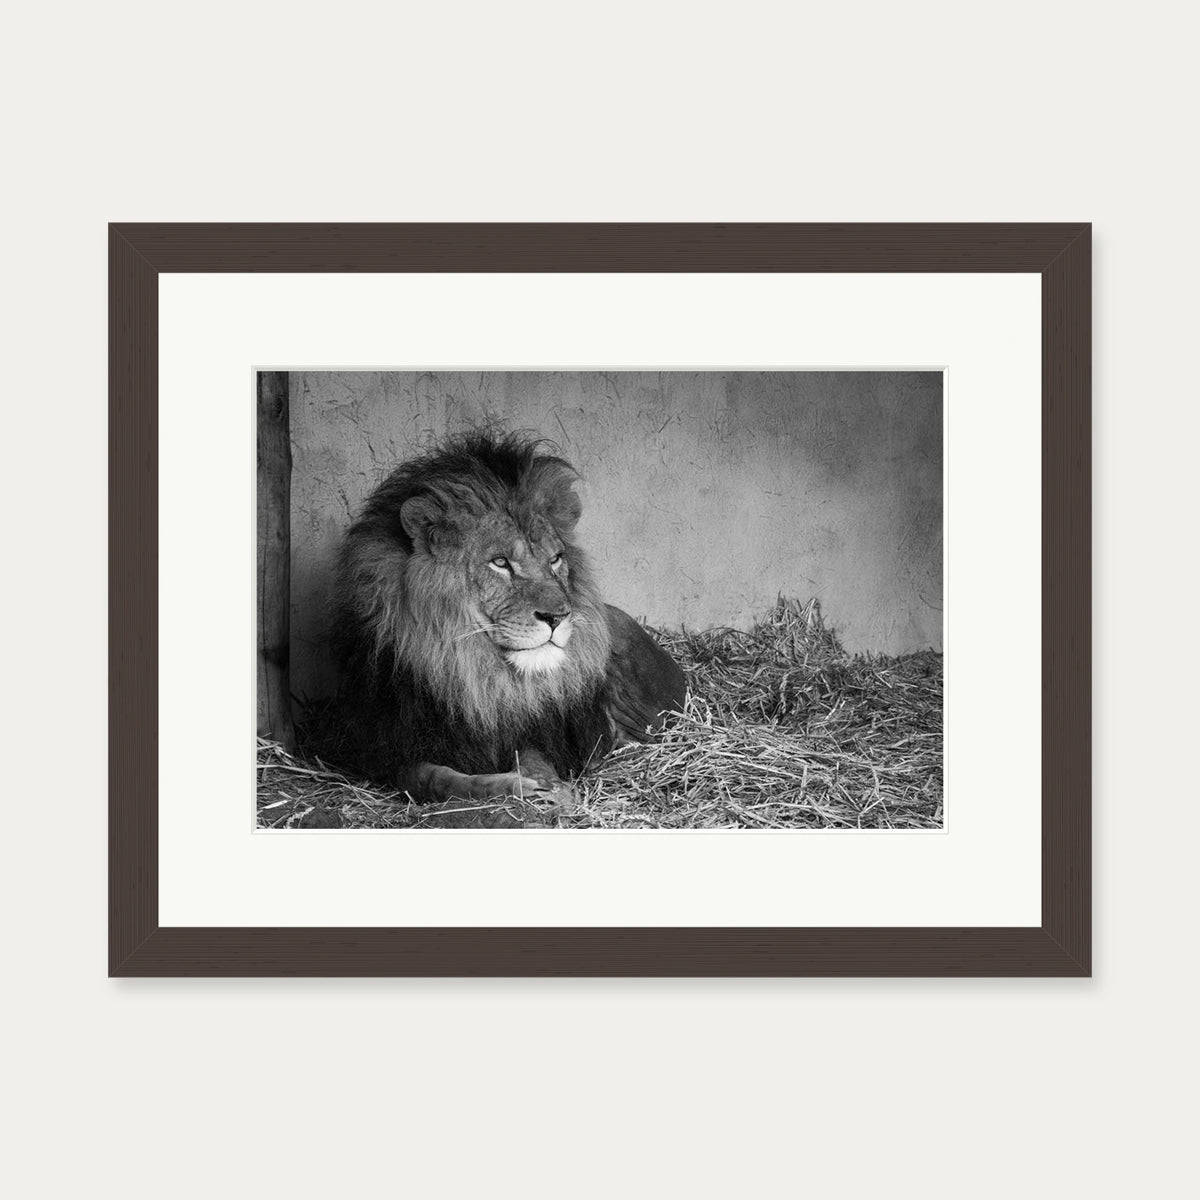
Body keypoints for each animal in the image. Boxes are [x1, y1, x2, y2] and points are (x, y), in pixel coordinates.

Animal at [333, 431, 686, 805]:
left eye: (555, 559)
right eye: (500, 562)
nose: (558, 616)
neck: (474, 674)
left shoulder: (537, 732)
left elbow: (534, 756)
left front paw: (550, 787)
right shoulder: (387, 749)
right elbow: (434, 778)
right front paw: (509, 785)